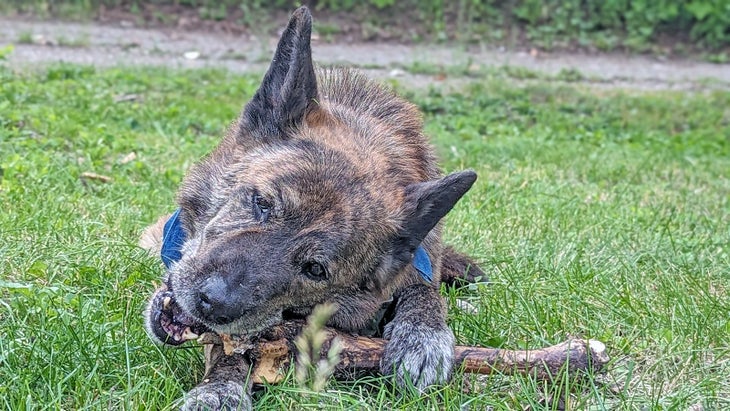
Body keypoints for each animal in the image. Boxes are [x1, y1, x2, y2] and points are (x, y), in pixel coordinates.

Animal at [144, 7, 480, 411]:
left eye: (315, 269)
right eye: (261, 204)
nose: (213, 303)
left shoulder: (422, 262)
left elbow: (424, 290)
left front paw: (424, 336)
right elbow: (229, 348)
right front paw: (220, 387)